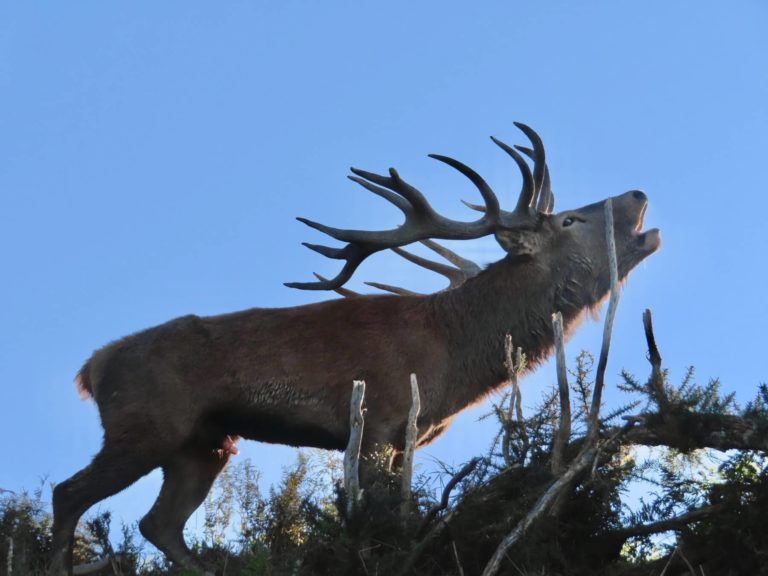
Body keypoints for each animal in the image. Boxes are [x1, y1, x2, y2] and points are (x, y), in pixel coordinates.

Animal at [50, 123, 660, 575]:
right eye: (571, 219)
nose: (638, 193)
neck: (454, 355)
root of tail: (90, 368)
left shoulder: (407, 435)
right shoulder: (379, 420)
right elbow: (376, 519)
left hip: (203, 443)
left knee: (160, 524)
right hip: (145, 423)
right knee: (68, 494)